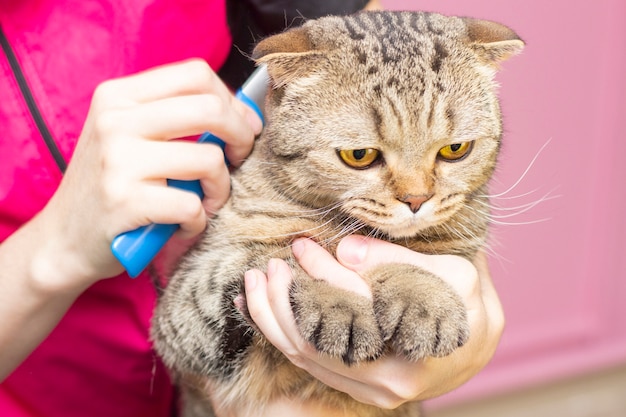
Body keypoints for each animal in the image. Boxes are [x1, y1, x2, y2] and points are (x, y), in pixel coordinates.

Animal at [151, 9, 520, 416]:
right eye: (359, 155)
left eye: (455, 149)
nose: (416, 200)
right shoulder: (185, 306)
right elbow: (276, 255)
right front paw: (340, 304)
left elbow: (407, 258)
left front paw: (422, 296)